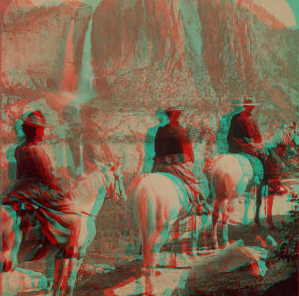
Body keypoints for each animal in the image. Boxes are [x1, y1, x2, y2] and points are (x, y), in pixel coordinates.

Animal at [0, 163, 124, 294]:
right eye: (118, 177)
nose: (122, 198)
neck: (80, 208)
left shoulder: (59, 255)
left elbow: (57, 283)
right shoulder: (77, 254)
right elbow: (68, 283)